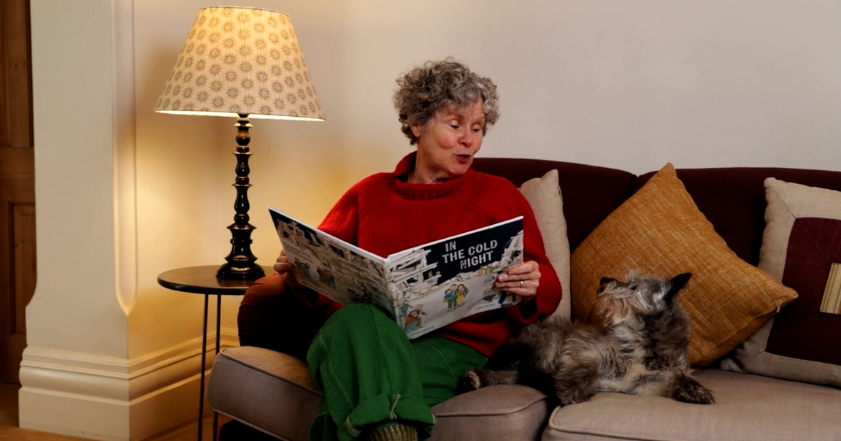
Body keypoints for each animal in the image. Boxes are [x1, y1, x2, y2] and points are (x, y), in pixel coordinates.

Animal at [460, 272, 716, 406]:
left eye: (633, 286)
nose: (604, 279)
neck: (641, 344)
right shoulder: (584, 349)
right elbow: (583, 369)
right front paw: (571, 391)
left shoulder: (642, 383)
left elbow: (674, 378)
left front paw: (694, 390)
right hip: (548, 342)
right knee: (526, 371)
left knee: (514, 376)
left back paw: (477, 379)